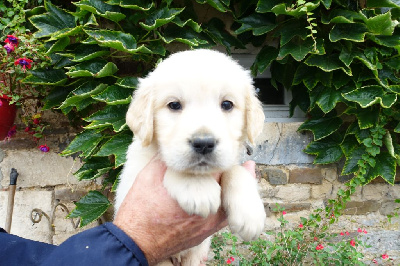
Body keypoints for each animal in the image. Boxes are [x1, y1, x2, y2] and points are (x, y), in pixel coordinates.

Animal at [114, 49, 268, 264]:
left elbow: (235, 170)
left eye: (227, 104)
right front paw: (198, 188)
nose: (203, 143)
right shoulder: (131, 181)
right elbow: (172, 165)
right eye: (174, 105)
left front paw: (250, 213)